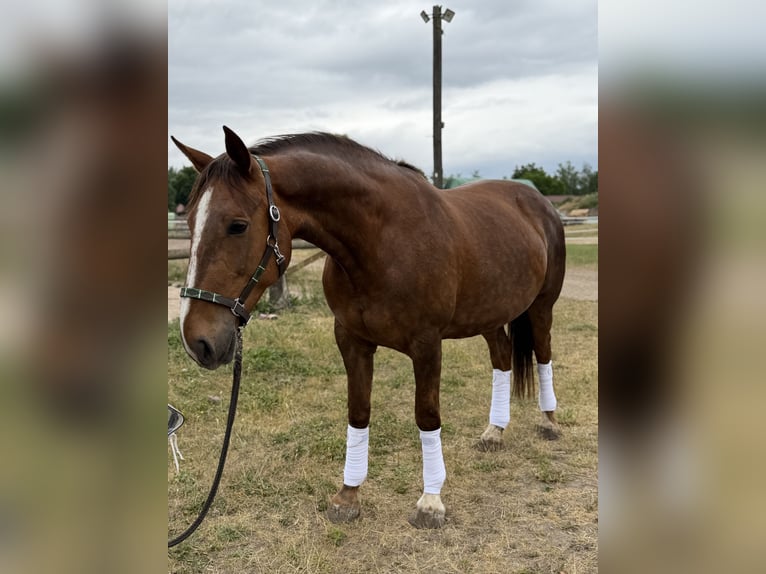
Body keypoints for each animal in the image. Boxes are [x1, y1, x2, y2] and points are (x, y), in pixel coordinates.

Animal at [171, 126, 566, 529]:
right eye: (190, 223)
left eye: (237, 226)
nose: (197, 341)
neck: (382, 241)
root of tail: (539, 203)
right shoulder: (351, 340)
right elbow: (358, 411)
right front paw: (348, 496)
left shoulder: (427, 344)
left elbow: (427, 416)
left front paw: (430, 502)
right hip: (490, 313)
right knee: (502, 358)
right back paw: (494, 432)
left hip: (541, 306)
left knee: (544, 354)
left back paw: (550, 423)